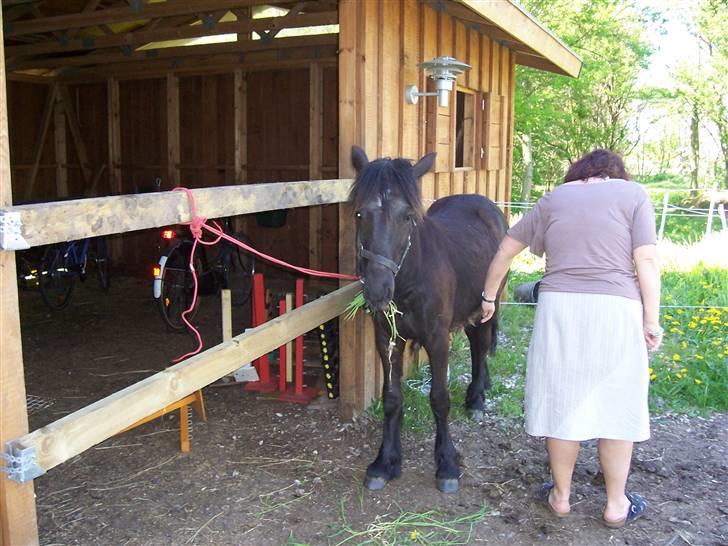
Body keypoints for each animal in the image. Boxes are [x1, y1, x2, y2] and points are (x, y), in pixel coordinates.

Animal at [350, 145, 507, 493]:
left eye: (407, 216)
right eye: (359, 214)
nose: (377, 290)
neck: (411, 278)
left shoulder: (437, 340)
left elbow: (439, 398)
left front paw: (446, 464)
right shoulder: (387, 338)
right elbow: (391, 398)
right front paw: (386, 462)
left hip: (487, 306)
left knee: (481, 346)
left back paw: (476, 399)